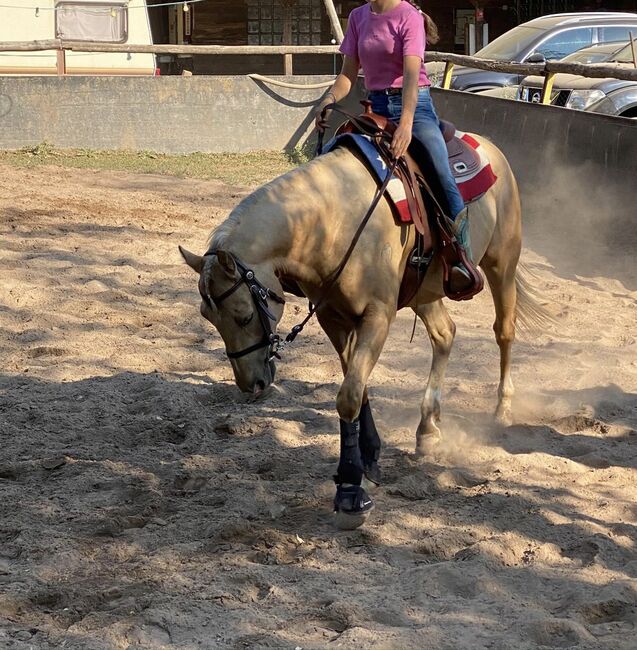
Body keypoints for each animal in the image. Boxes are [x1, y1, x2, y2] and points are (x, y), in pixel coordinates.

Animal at [181, 137, 540, 528]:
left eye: (244, 317)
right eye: (207, 316)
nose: (251, 384)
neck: (334, 221)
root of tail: (490, 148)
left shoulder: (378, 316)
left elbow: (350, 395)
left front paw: (351, 488)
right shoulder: (332, 316)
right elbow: (356, 384)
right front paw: (369, 455)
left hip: (502, 261)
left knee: (504, 332)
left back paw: (502, 409)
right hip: (422, 291)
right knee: (444, 334)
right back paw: (428, 427)